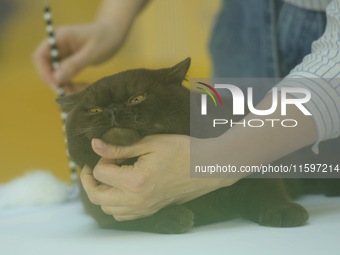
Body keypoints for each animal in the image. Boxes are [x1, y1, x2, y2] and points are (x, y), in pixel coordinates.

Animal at [57, 58, 338, 234]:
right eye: (94, 109)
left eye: (137, 98)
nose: (113, 110)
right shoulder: (103, 211)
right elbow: (135, 217)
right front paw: (172, 217)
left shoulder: (251, 165)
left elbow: (265, 190)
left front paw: (283, 211)